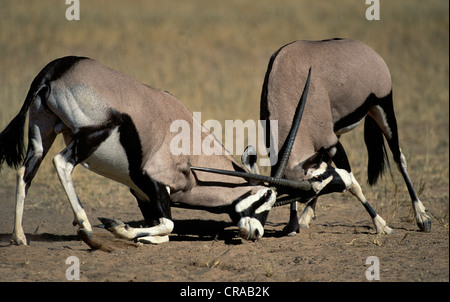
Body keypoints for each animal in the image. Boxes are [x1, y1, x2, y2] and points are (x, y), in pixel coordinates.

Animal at [0, 55, 316, 247]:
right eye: (265, 196)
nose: (257, 233)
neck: (193, 151)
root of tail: (56, 69)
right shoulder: (154, 181)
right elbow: (169, 225)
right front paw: (115, 227)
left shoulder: (140, 193)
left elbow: (161, 232)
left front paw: (135, 235)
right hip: (91, 135)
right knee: (62, 163)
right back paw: (87, 230)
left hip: (42, 133)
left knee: (25, 172)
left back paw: (19, 237)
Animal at [256, 37, 428, 235]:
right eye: (310, 192)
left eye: (320, 177)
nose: (343, 181)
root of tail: (365, 48)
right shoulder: (325, 145)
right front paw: (292, 224)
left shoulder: (331, 143)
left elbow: (355, 185)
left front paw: (381, 225)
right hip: (338, 128)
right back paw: (306, 217)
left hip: (382, 106)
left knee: (399, 158)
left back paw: (422, 217)